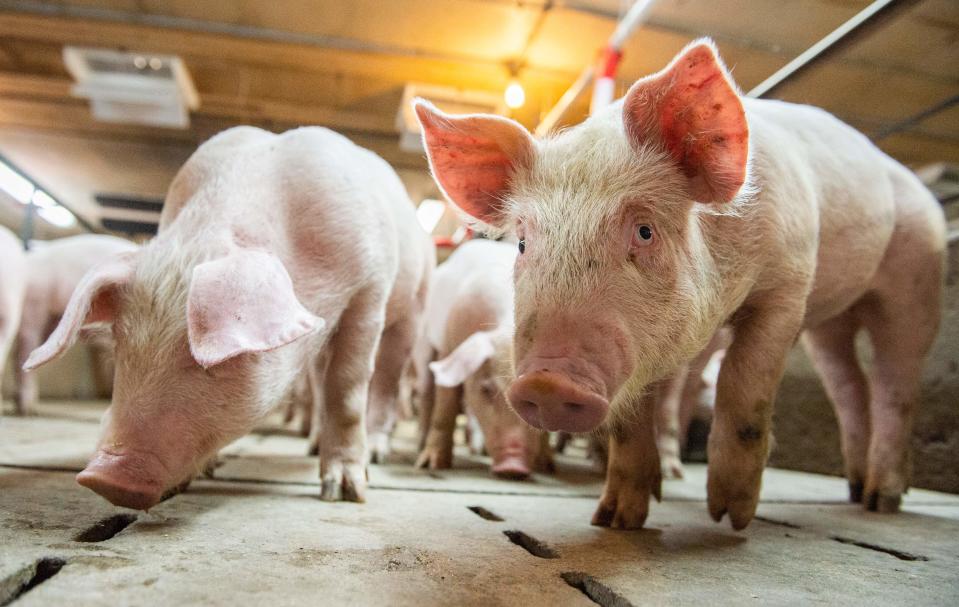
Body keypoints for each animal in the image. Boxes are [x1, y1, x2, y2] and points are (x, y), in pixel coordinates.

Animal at [416, 40, 948, 528]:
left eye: (645, 231)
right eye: (523, 243)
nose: (546, 380)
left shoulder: (790, 282)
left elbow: (744, 382)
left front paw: (730, 518)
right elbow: (632, 415)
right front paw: (616, 520)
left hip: (917, 274)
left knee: (895, 383)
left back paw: (882, 502)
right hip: (830, 324)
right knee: (848, 386)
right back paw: (856, 491)